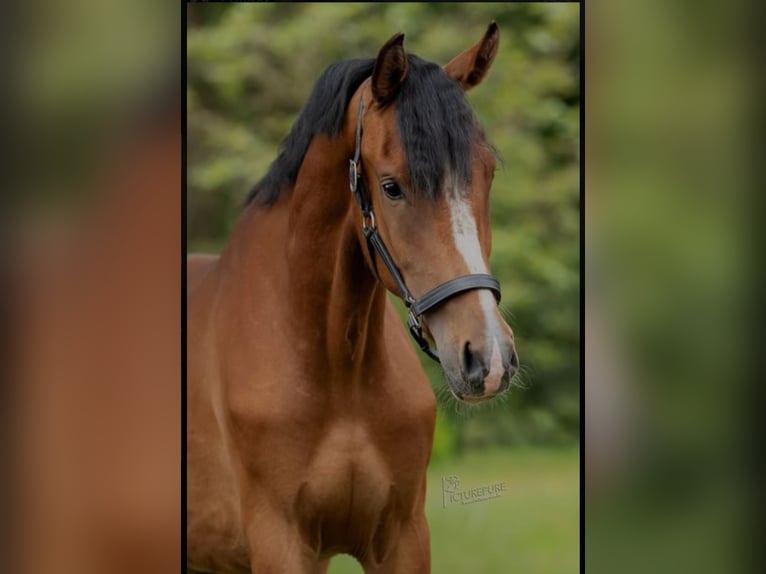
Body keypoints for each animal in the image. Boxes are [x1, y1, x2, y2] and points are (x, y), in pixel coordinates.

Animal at [188, 21, 520, 572]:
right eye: (391, 187)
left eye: (487, 173)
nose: (488, 358)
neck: (337, 375)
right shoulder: (281, 542)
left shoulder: (403, 537)